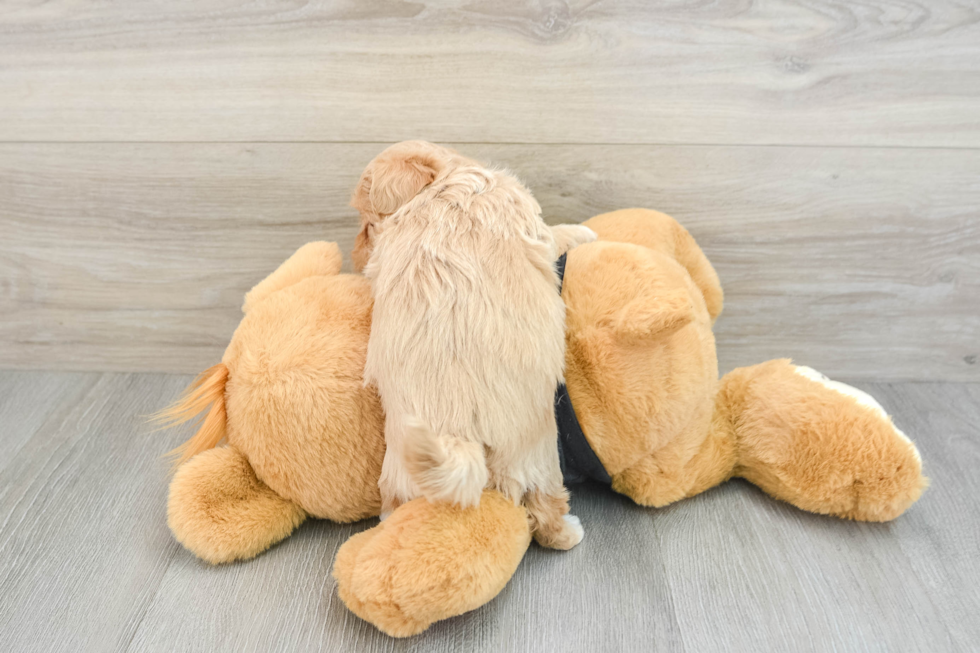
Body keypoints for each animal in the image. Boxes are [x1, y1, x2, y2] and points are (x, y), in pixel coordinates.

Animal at [354, 140, 592, 548]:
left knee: (395, 506)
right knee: (545, 512)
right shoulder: (532, 225)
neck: (439, 189)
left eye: (368, 226)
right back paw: (570, 532)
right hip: (538, 457)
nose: (356, 254)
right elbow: (557, 233)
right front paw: (585, 231)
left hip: (403, 473)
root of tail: (457, 433)